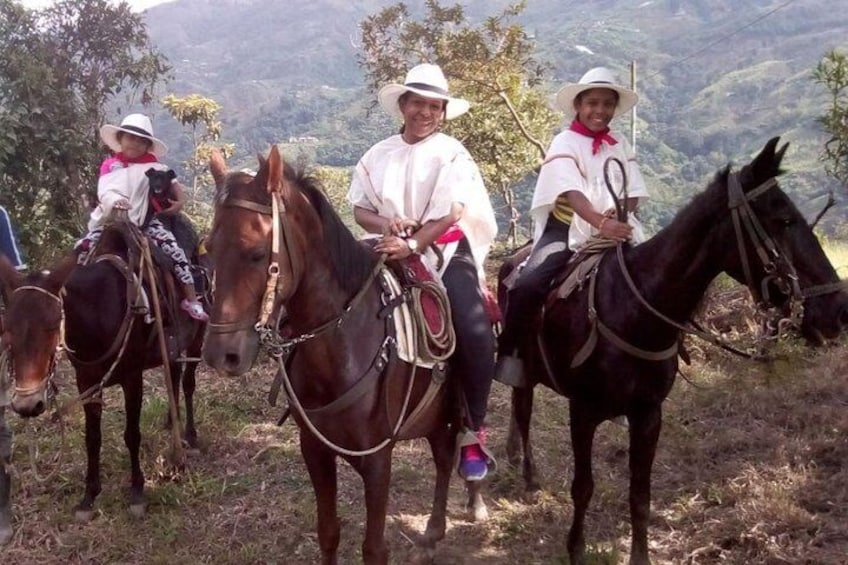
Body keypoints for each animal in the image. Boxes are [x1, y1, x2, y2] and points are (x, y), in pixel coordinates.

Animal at [201, 147, 486, 564]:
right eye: (208, 249)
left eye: (257, 254)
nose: (222, 354)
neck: (340, 342)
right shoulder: (315, 448)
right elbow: (328, 532)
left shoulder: (378, 459)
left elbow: (374, 548)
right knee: (443, 456)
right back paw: (435, 529)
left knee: (457, 447)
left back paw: (469, 501)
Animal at [496, 138, 848, 564]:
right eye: (784, 221)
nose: (837, 310)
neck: (633, 307)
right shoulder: (582, 411)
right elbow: (583, 487)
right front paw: (576, 548)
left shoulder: (648, 414)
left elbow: (640, 496)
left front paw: (640, 555)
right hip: (524, 368)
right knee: (522, 408)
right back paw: (527, 474)